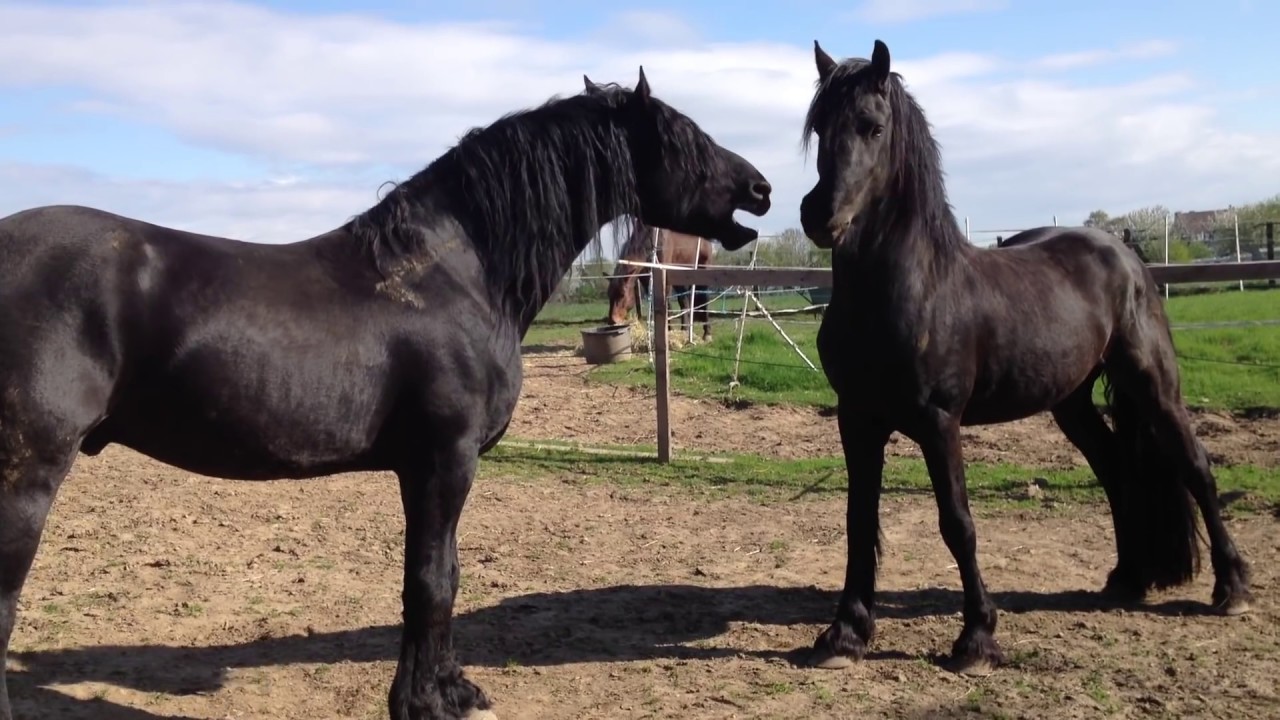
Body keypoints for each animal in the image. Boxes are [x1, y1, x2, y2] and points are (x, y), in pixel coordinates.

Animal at [0, 68, 768, 717]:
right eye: (685, 138)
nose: (760, 187)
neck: (456, 273)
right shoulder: (442, 461)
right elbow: (428, 582)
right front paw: (420, 702)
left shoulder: (438, 468)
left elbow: (445, 574)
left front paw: (453, 690)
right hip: (26, 477)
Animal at [793, 40, 1244, 671]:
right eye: (819, 128)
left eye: (873, 126)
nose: (820, 215)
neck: (908, 288)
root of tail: (1125, 254)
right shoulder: (856, 419)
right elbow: (860, 520)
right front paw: (845, 634)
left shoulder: (939, 422)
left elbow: (957, 523)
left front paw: (976, 638)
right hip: (1072, 403)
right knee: (1116, 471)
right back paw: (1127, 579)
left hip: (1153, 386)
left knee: (1196, 467)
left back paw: (1231, 588)